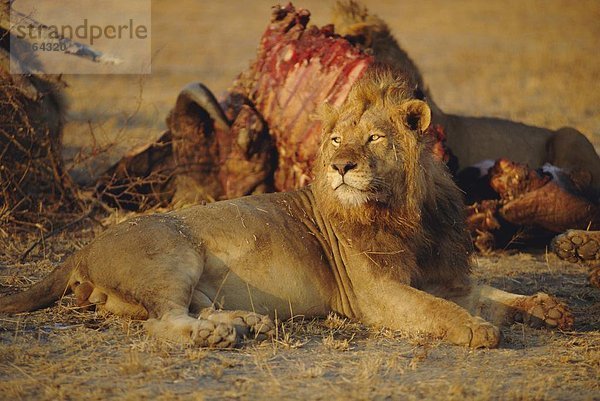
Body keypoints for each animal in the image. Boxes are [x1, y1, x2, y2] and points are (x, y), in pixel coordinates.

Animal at [0, 72, 576, 346]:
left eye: (373, 138)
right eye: (337, 139)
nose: (342, 166)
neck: (409, 214)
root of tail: (84, 248)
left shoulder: (445, 277)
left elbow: (490, 292)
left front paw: (547, 307)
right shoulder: (375, 295)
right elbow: (441, 310)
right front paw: (478, 330)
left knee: (187, 308)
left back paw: (244, 322)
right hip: (172, 253)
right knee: (163, 320)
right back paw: (215, 335)